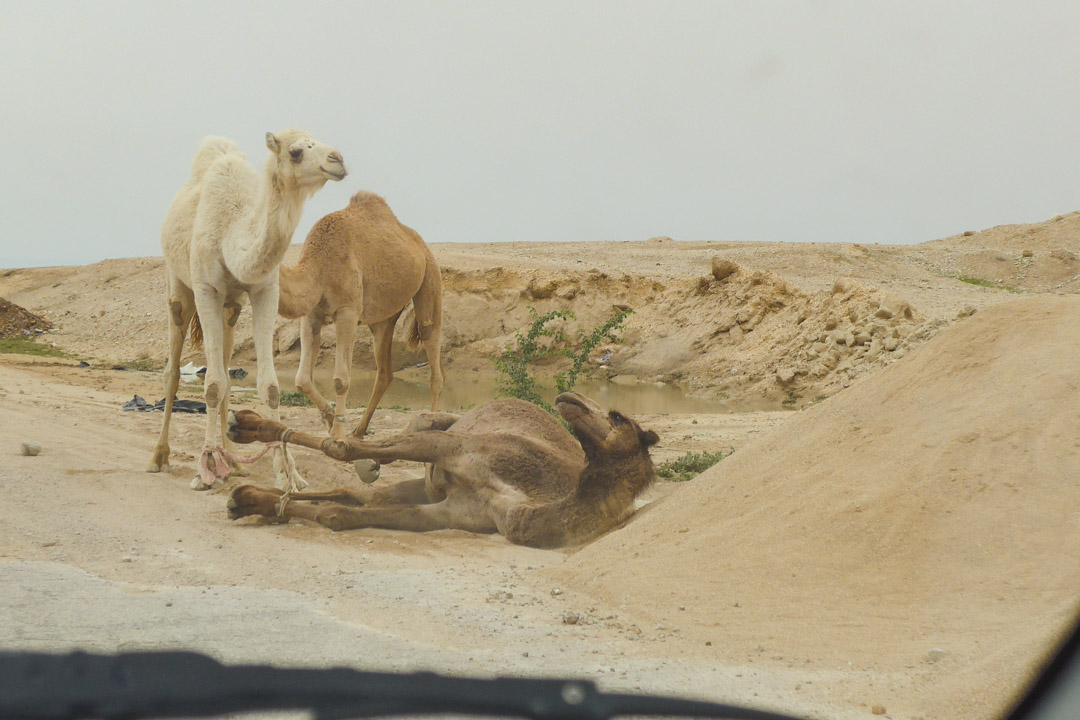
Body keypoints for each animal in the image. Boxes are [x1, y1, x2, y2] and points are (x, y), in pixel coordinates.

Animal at [147, 127, 345, 490]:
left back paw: (234, 462)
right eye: (296, 152)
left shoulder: (264, 290)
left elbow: (268, 387)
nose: (337, 160)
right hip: (179, 288)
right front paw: (205, 469)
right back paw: (159, 457)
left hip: (232, 308)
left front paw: (289, 474)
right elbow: (211, 385)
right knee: (173, 372)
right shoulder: (207, 290)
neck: (232, 231)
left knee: (226, 371)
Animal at [223, 390, 656, 548]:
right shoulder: (462, 448)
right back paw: (244, 425)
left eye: (618, 417)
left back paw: (248, 498)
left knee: (359, 495)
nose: (570, 397)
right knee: (419, 425)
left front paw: (254, 502)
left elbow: (341, 515)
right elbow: (341, 447)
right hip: (450, 430)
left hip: (426, 484)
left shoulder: (451, 514)